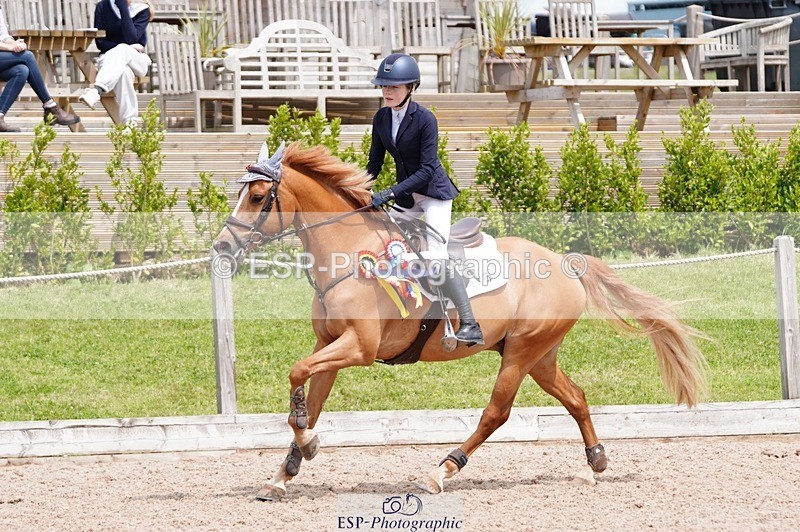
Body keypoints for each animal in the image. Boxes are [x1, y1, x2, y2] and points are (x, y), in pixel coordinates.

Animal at [213, 141, 707, 501]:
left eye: (257, 197)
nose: (221, 247)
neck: (348, 255)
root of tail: (565, 262)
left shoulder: (359, 347)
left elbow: (296, 375)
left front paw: (306, 445)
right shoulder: (329, 346)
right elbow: (309, 400)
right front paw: (286, 471)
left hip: (523, 352)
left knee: (497, 413)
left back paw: (441, 471)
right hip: (539, 354)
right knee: (576, 397)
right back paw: (596, 462)